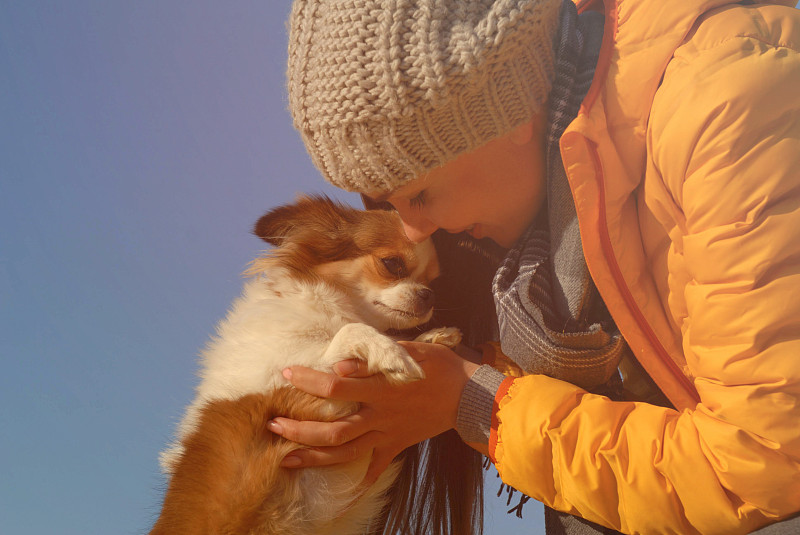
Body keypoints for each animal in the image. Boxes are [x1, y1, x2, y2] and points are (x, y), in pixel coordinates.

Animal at [152, 197, 460, 535]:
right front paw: (391, 353)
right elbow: (351, 332)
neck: (331, 308)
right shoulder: (297, 385)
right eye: (393, 264)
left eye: (432, 281)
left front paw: (433, 338)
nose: (429, 295)